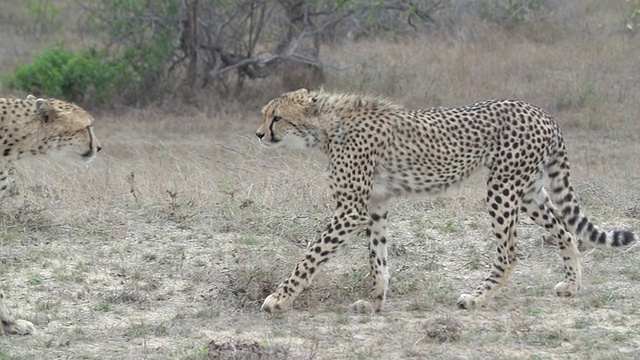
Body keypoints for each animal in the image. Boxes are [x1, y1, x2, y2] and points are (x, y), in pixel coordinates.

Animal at [255, 88, 636, 314]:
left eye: (277, 117)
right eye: (265, 115)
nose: (258, 134)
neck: (327, 126)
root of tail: (542, 112)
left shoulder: (351, 210)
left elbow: (310, 256)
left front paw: (280, 298)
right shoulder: (376, 205)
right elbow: (378, 258)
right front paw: (376, 300)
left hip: (501, 187)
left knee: (511, 251)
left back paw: (478, 297)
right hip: (529, 191)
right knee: (566, 231)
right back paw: (571, 285)